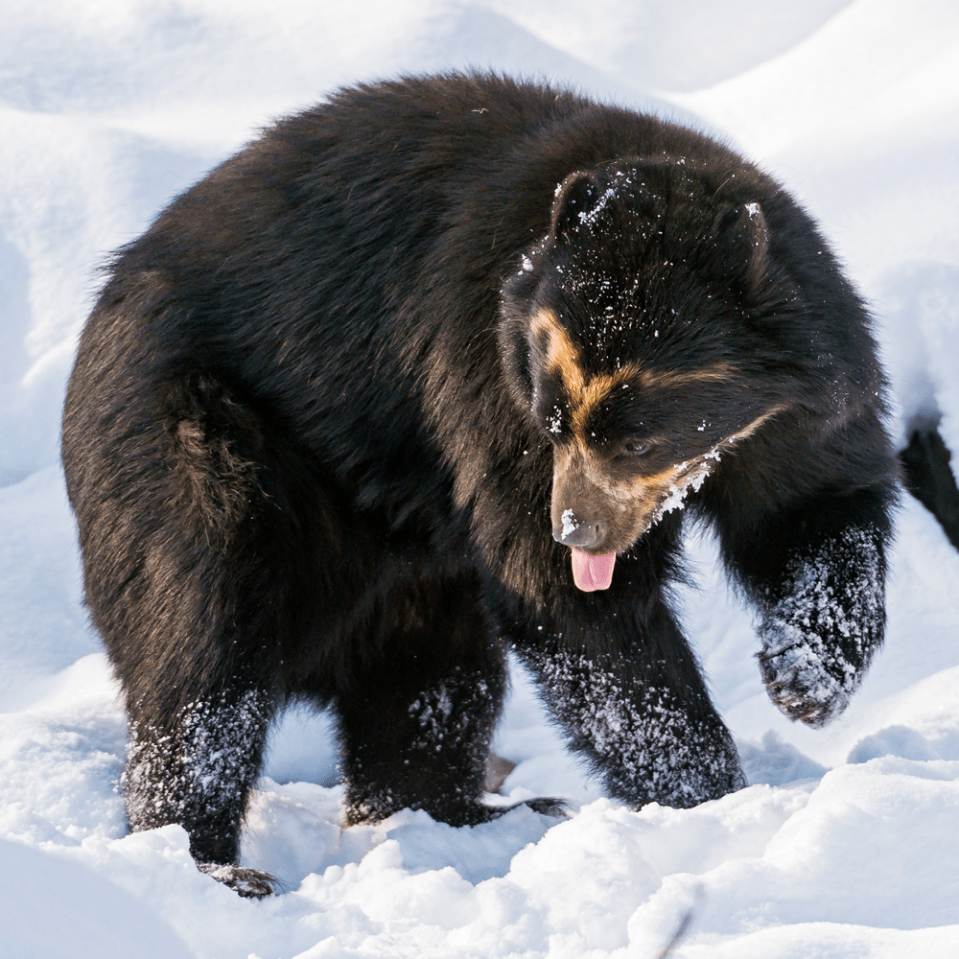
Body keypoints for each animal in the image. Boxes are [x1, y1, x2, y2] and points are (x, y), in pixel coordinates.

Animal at [61, 72, 898, 897]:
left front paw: (805, 676)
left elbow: (814, 511)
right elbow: (563, 605)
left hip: (409, 550)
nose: (576, 531)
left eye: (638, 437)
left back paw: (468, 814)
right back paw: (211, 864)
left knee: (429, 675)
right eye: (552, 423)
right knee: (204, 634)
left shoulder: (799, 411)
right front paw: (709, 800)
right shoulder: (479, 374)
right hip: (187, 439)